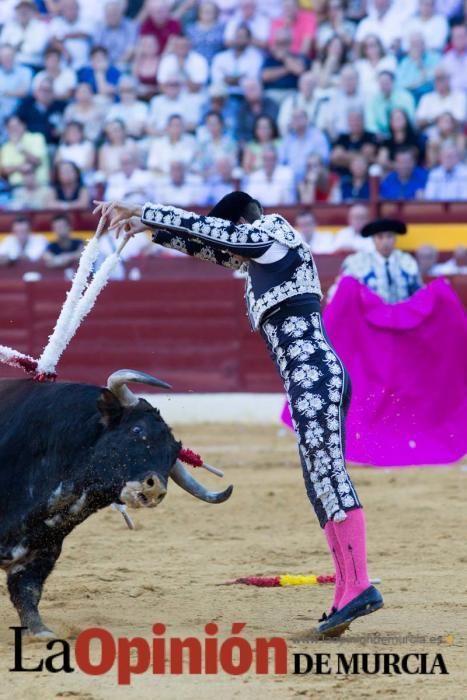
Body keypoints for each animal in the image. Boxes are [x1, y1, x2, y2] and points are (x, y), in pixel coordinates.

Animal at [0, 370, 234, 636]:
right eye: (136, 429)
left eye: (174, 452)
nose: (156, 487)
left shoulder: (41, 550)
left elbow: (27, 591)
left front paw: (40, 632)